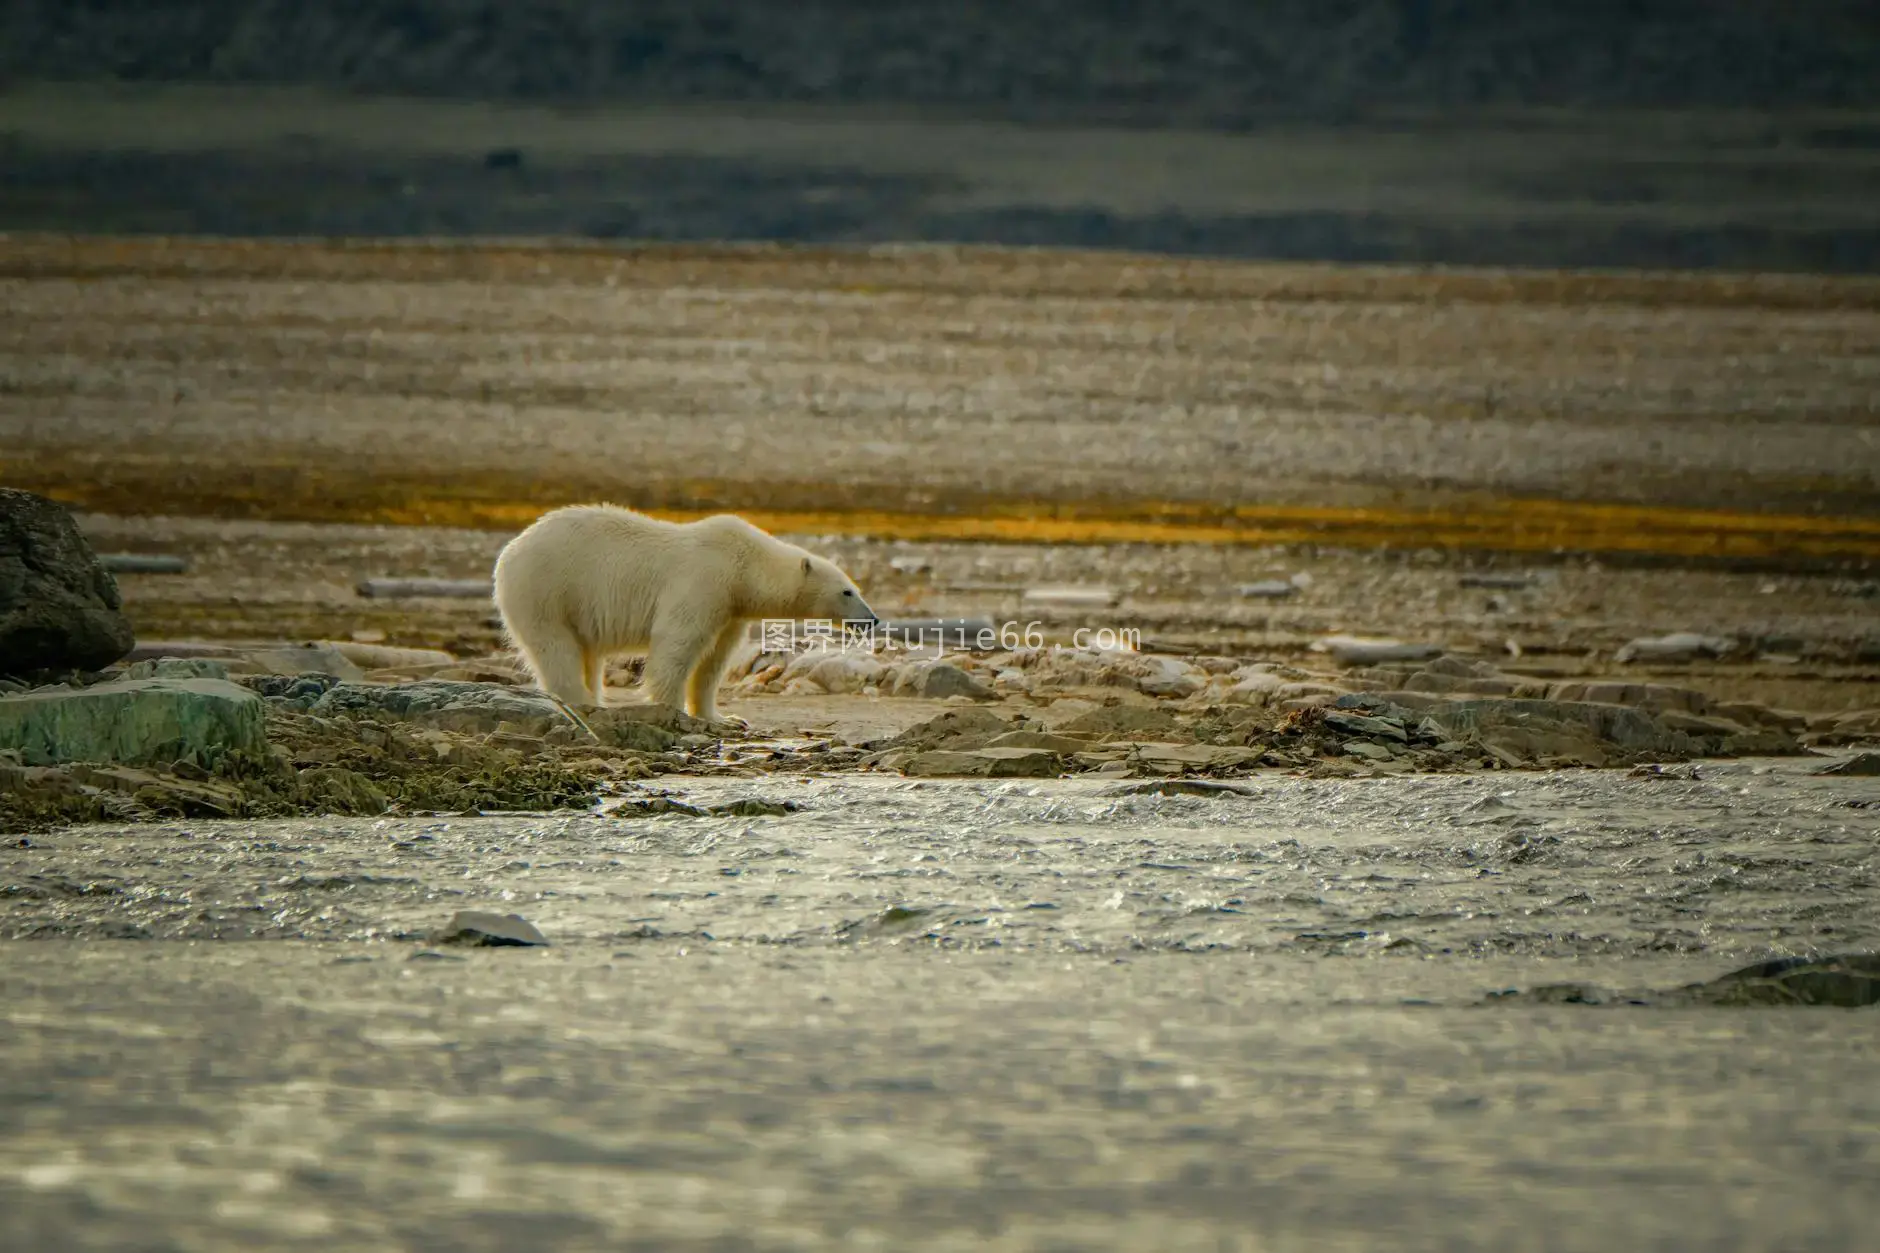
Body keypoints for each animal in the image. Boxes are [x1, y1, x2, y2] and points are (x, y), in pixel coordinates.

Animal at [488, 504, 876, 722]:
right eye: (847, 591)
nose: (871, 620)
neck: (743, 566)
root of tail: (510, 550)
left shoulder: (731, 609)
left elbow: (714, 660)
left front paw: (723, 718)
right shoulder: (704, 581)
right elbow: (677, 643)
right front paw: (670, 708)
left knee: (586, 654)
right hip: (546, 589)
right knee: (556, 647)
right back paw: (582, 702)